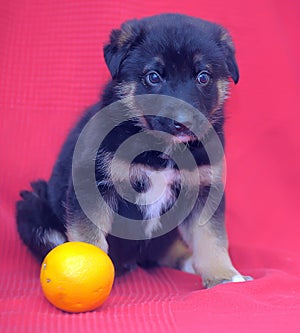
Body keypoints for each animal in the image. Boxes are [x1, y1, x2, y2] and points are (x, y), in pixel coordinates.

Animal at [16, 13, 251, 288]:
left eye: (203, 77)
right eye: (153, 76)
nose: (183, 123)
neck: (161, 149)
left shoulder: (204, 186)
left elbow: (211, 237)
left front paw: (224, 275)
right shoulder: (93, 184)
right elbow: (89, 240)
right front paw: (87, 274)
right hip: (32, 205)